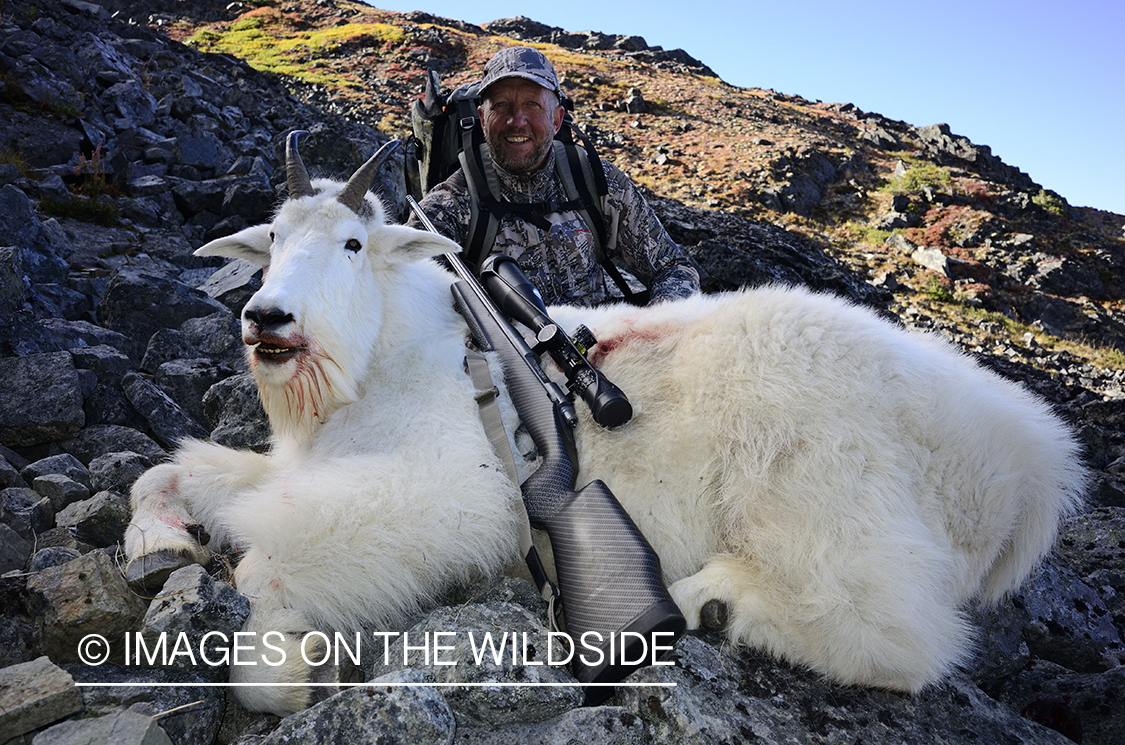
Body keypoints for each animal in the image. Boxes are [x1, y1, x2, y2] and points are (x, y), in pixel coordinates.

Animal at [125, 135, 1089, 720]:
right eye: (272, 239)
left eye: (354, 245)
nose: (268, 319)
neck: (386, 357)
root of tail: (1024, 465)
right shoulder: (302, 460)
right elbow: (165, 474)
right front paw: (158, 539)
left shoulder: (461, 492)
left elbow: (268, 561)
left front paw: (290, 669)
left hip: (826, 497)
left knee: (899, 633)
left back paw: (706, 600)